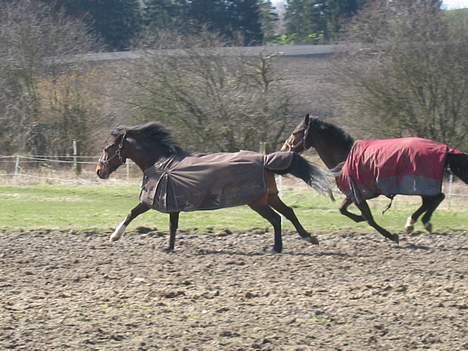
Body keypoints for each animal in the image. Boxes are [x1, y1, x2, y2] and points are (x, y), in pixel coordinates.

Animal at [95, 123, 330, 253]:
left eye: (107, 148)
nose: (99, 171)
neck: (160, 163)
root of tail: (266, 160)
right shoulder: (173, 203)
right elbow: (173, 226)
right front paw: (170, 247)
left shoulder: (152, 200)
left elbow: (132, 212)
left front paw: (114, 236)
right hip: (269, 197)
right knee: (287, 214)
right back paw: (305, 239)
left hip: (257, 201)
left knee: (276, 218)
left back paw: (278, 247)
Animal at [282, 115, 468, 245]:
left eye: (295, 133)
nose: (284, 149)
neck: (345, 156)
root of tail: (444, 149)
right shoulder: (352, 195)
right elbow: (343, 210)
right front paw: (360, 219)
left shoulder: (358, 195)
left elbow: (369, 218)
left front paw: (391, 235)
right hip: (422, 187)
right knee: (435, 199)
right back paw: (418, 222)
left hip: (421, 185)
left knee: (436, 198)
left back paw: (415, 222)